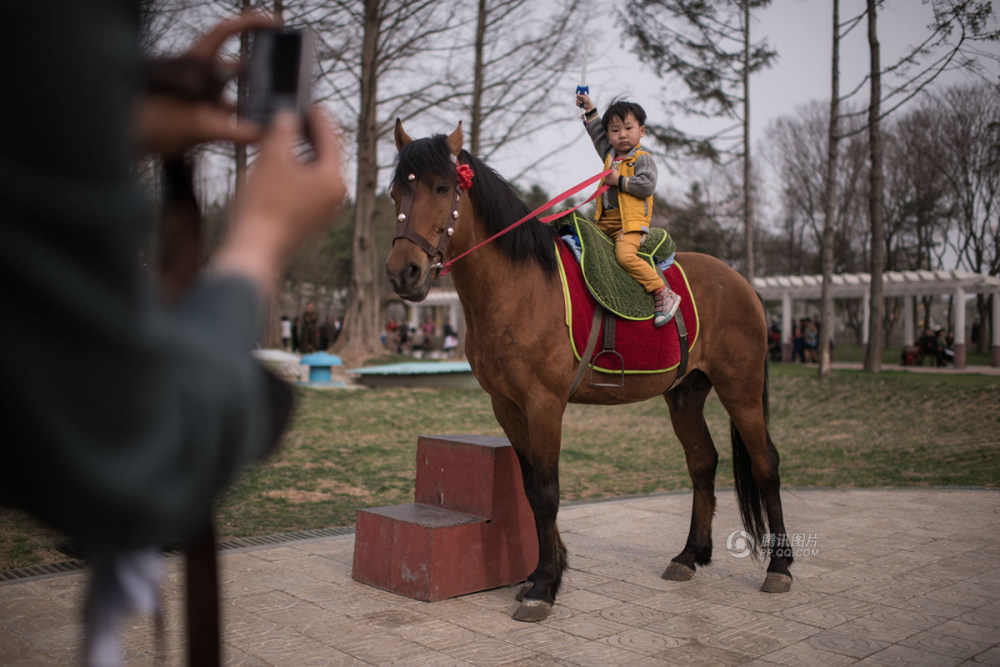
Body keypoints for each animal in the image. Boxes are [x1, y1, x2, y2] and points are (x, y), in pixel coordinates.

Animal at [386, 121, 792, 628]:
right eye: (397, 191)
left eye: (442, 187)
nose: (404, 273)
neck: (519, 288)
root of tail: (743, 284)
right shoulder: (507, 406)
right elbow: (530, 488)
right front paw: (545, 571)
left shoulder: (544, 405)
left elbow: (546, 491)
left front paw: (544, 587)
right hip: (685, 393)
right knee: (703, 462)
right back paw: (689, 555)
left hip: (741, 388)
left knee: (765, 464)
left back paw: (779, 566)